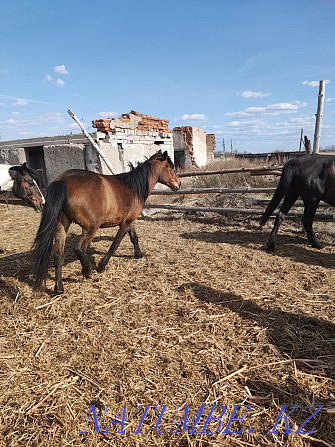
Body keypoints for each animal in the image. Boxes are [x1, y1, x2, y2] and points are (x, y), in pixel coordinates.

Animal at [32, 152, 181, 296]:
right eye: (171, 167)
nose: (179, 184)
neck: (133, 187)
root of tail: (63, 180)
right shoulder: (125, 224)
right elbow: (115, 244)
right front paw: (102, 266)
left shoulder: (129, 221)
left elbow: (134, 238)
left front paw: (139, 254)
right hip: (91, 228)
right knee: (79, 249)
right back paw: (87, 271)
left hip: (62, 225)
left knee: (58, 254)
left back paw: (59, 288)